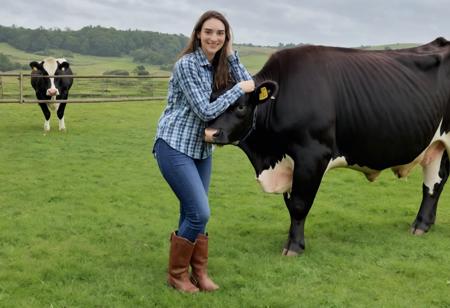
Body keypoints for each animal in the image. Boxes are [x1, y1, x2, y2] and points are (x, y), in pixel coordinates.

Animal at [206, 37, 450, 256]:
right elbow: (290, 203)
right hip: (436, 146)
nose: (210, 133)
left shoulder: (312, 155)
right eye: (209, 101)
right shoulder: (290, 162)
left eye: (240, 106)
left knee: (435, 182)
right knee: (434, 183)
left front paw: (294, 247)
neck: (268, 157)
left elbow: (299, 204)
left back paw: (421, 224)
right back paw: (423, 224)